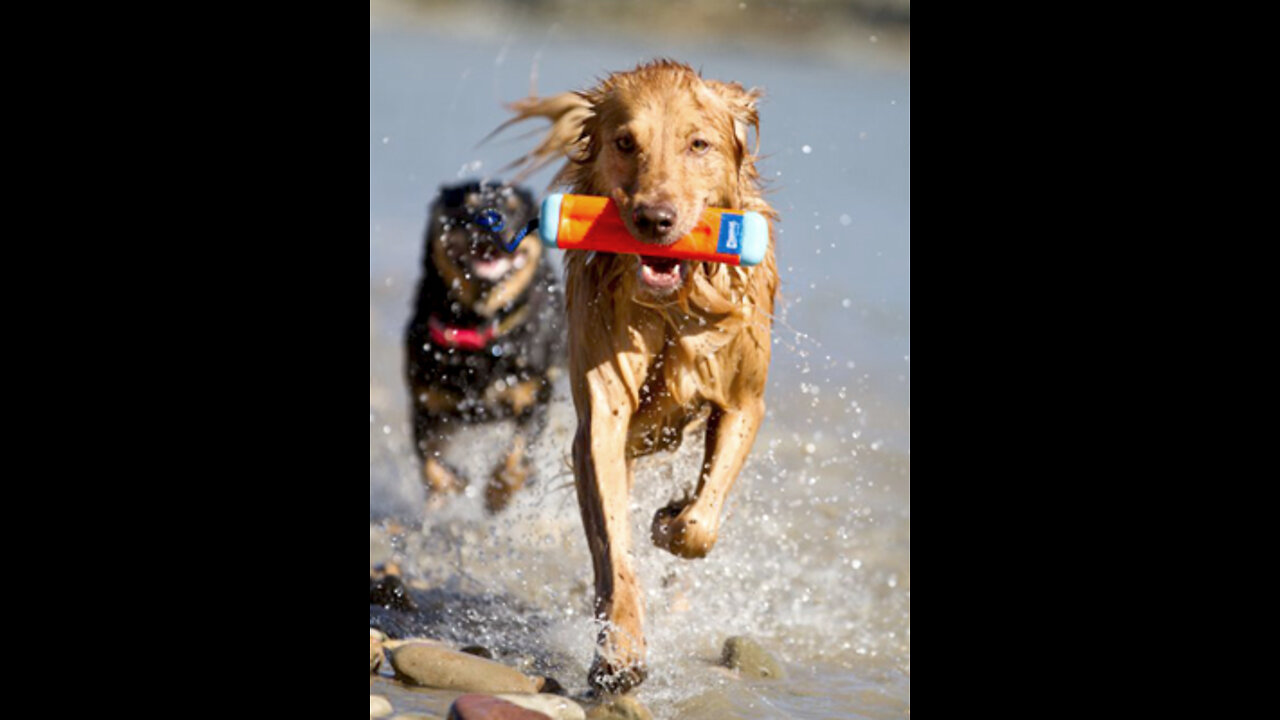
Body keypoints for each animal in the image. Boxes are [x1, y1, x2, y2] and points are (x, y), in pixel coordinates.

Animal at [399, 179, 560, 509]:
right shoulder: (426, 404)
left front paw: (498, 491)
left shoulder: (534, 395)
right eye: (467, 206)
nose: (492, 219)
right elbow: (429, 461)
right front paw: (454, 483)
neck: (482, 328)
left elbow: (517, 453)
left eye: (513, 209)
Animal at [501, 58, 778, 686]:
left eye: (698, 144)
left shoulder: (744, 400)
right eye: (626, 142)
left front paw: (670, 518)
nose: (655, 219)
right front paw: (620, 649)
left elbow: (699, 525)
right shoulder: (602, 412)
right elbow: (613, 542)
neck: (674, 307)